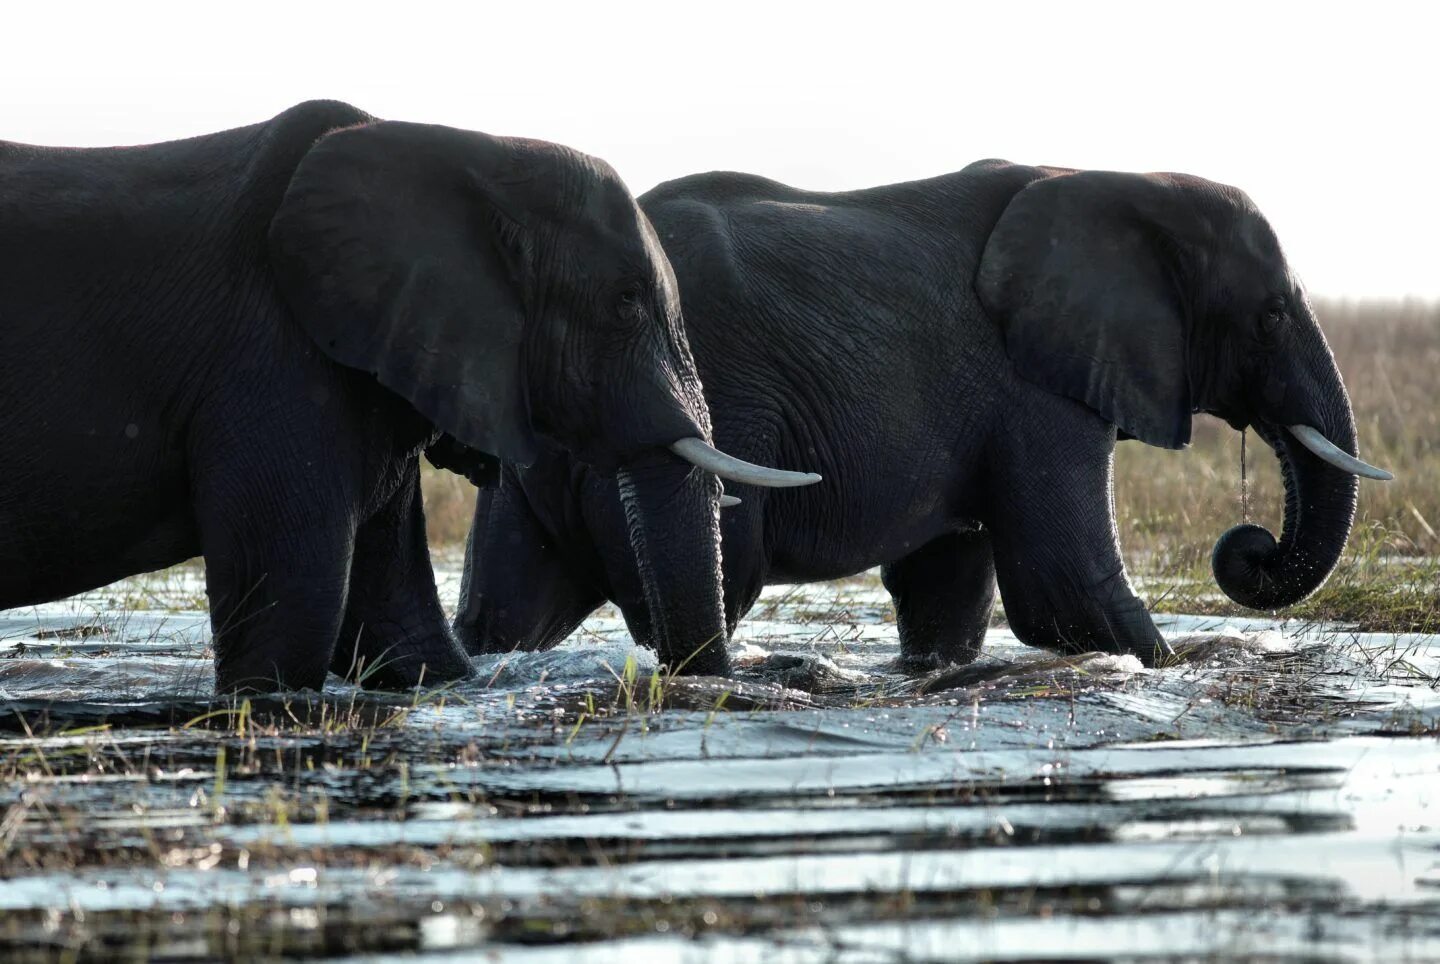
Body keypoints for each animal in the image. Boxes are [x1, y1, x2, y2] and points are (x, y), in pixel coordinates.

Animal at [0, 99, 817, 691]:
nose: (683, 678)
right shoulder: (270, 359)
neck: (473, 154)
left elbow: (403, 638)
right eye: (624, 303)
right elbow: (290, 623)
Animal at [455, 157, 1388, 668]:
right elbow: (1065, 590)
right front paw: (1184, 665)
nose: (1249, 548)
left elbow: (948, 592)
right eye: (1271, 315)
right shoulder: (1032, 389)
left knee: (507, 608)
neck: (1116, 179)